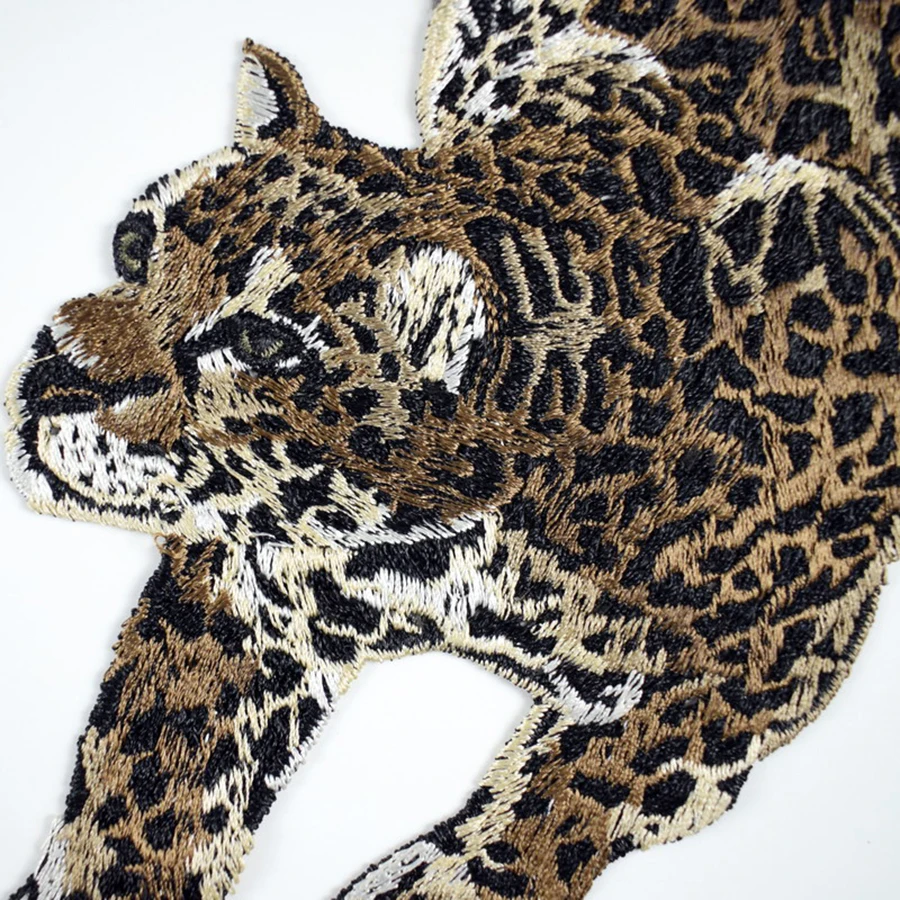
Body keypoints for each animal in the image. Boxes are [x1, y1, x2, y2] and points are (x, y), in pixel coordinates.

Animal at [6, 1, 900, 898]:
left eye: (261, 343)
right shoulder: (257, 589)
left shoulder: (771, 663)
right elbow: (151, 772)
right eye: (130, 247)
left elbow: (562, 801)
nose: (53, 370)